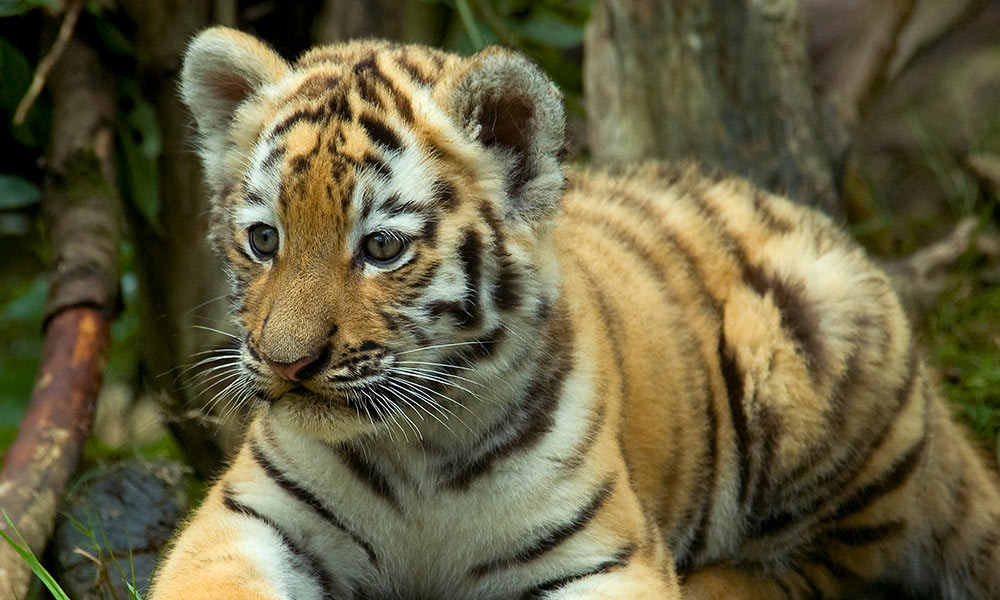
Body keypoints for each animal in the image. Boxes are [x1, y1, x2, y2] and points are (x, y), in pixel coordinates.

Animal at [149, 26, 1000, 600]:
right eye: (264, 239)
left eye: (383, 247)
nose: (286, 363)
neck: (418, 454)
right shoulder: (250, 518)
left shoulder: (604, 553)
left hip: (819, 337)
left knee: (833, 570)